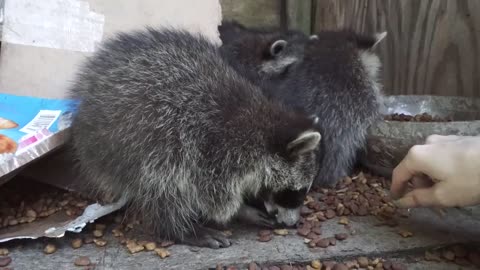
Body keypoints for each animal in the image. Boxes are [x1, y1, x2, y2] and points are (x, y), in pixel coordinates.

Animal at [68, 28, 322, 249]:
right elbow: (211, 196)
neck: (265, 128)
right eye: (296, 192)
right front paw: (241, 210)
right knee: (162, 182)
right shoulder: (217, 149)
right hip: (138, 135)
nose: (293, 224)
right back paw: (179, 228)